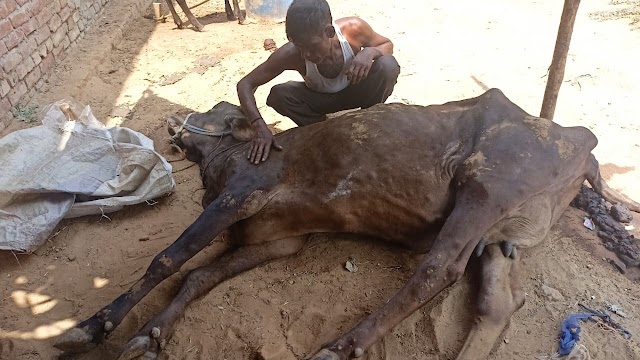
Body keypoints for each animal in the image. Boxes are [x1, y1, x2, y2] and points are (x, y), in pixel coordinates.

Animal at [55, 88, 640, 360]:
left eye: (219, 111)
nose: (176, 122)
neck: (221, 164)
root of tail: (581, 141)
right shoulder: (280, 240)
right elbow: (198, 276)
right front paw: (151, 334)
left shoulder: (241, 197)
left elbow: (168, 259)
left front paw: (96, 325)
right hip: (499, 238)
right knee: (497, 304)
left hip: (485, 189)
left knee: (438, 269)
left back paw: (343, 345)